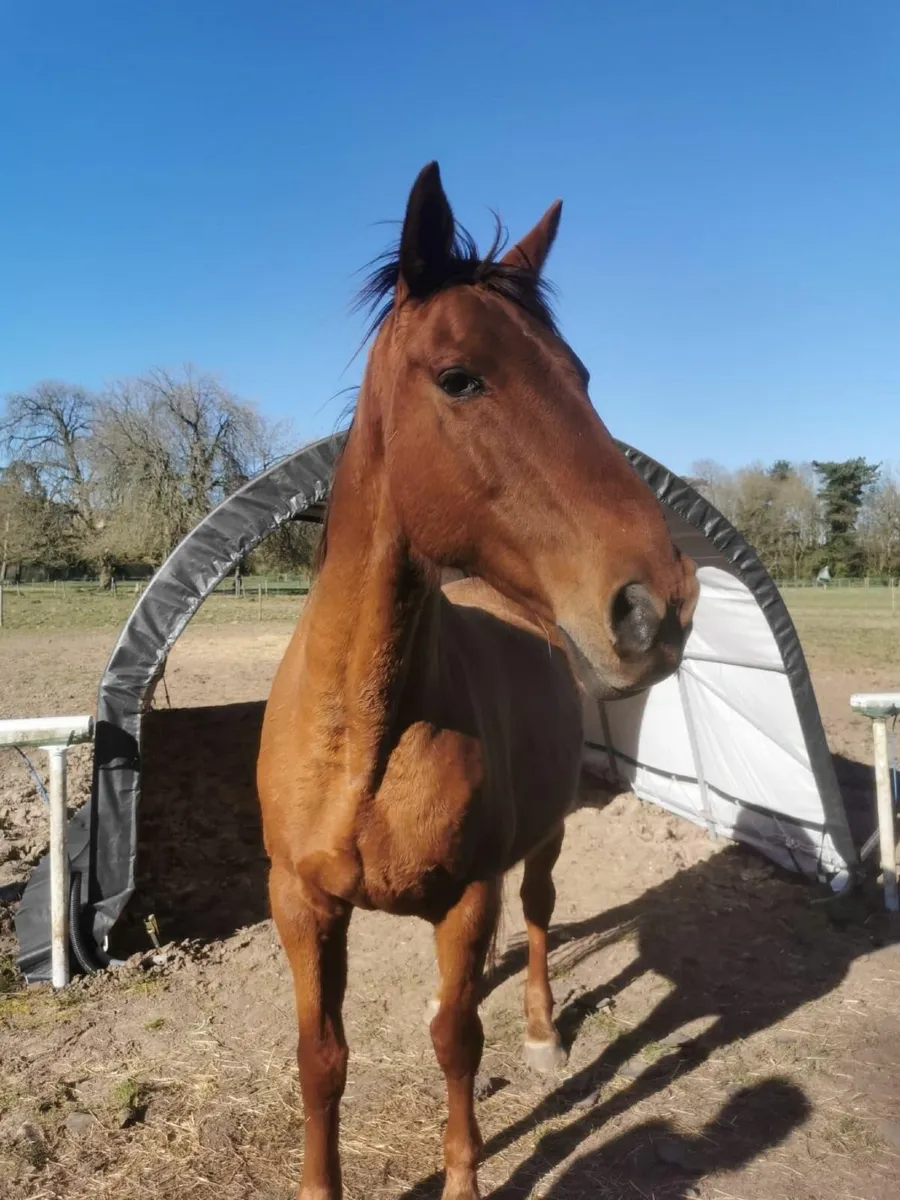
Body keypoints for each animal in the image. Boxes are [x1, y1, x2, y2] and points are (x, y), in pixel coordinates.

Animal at [257, 162, 699, 1200]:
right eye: (461, 378)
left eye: (582, 378)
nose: (658, 607)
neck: (363, 736)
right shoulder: (300, 904)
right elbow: (319, 1060)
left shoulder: (463, 900)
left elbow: (458, 1043)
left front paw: (465, 1173)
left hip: (544, 833)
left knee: (535, 916)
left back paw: (540, 1030)